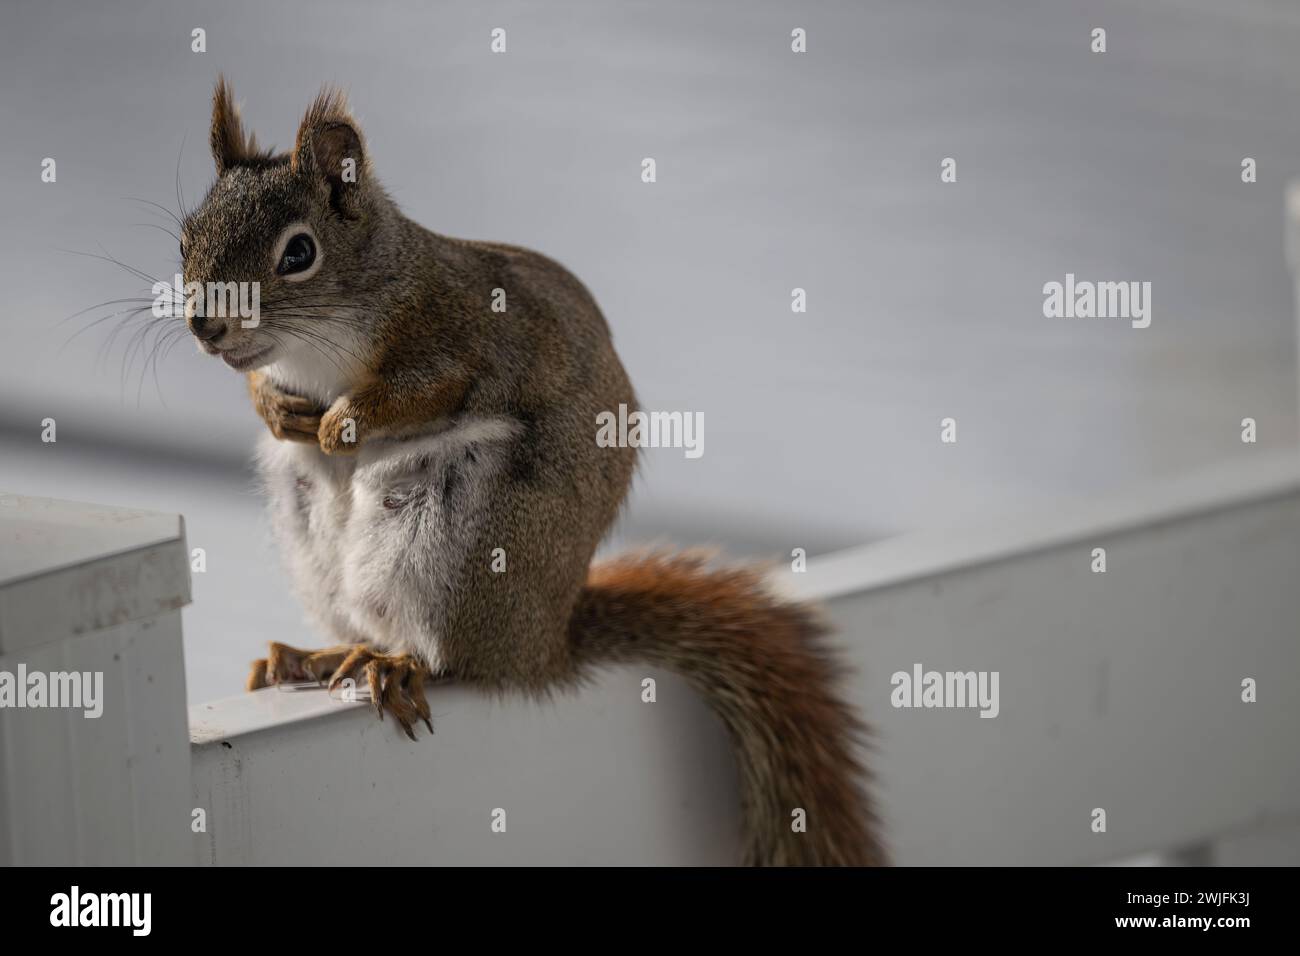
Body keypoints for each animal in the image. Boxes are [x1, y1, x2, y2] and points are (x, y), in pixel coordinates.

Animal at [180, 76, 884, 866]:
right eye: (186, 236)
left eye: (298, 252)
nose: (204, 326)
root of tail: (546, 645)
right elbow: (262, 389)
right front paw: (277, 408)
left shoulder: (461, 337)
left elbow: (422, 392)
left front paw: (341, 425)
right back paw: (318, 653)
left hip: (467, 541)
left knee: (455, 658)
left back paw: (395, 663)